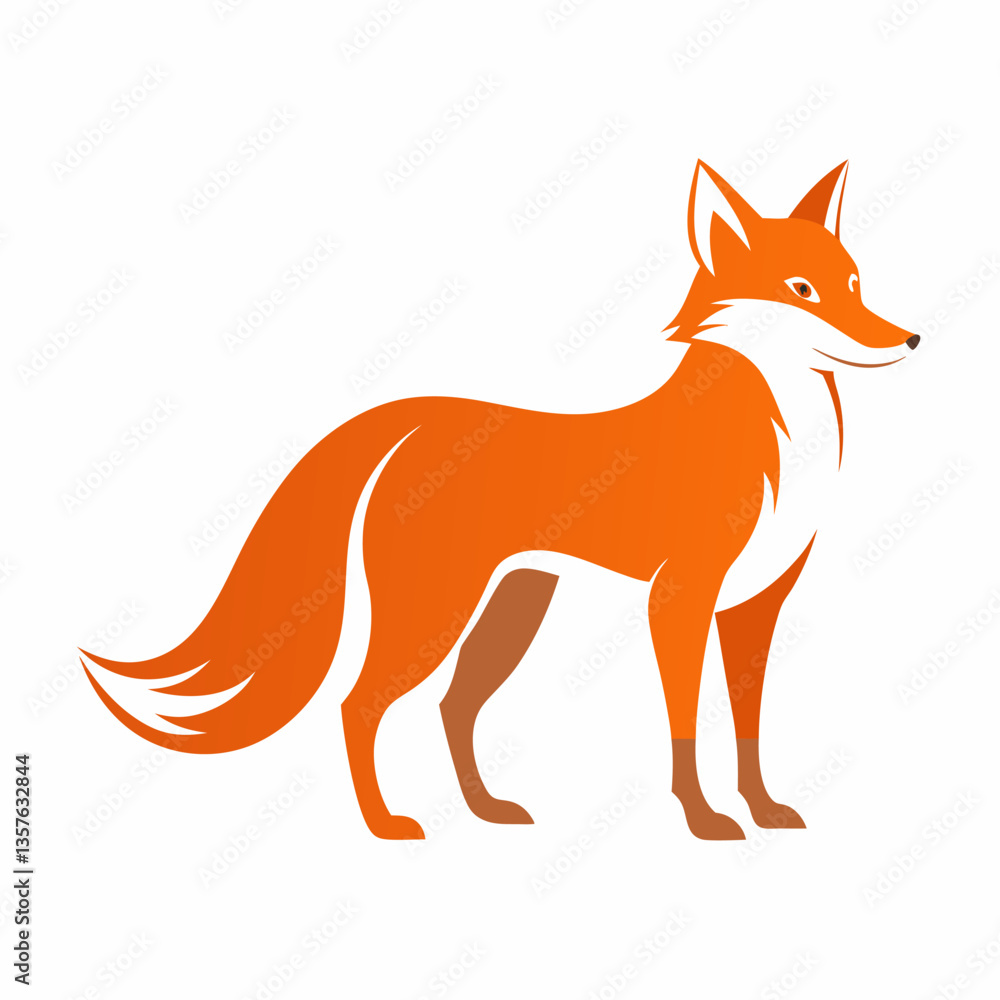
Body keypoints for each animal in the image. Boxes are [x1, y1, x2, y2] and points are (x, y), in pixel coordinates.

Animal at [82, 160, 919, 841]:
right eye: (801, 290)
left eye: (855, 283)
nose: (909, 339)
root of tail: (414, 421)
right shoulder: (680, 599)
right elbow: (684, 724)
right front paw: (706, 819)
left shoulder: (756, 605)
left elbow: (749, 728)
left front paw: (765, 810)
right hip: (436, 612)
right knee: (360, 703)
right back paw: (385, 824)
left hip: (512, 608)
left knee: (453, 707)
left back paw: (485, 810)